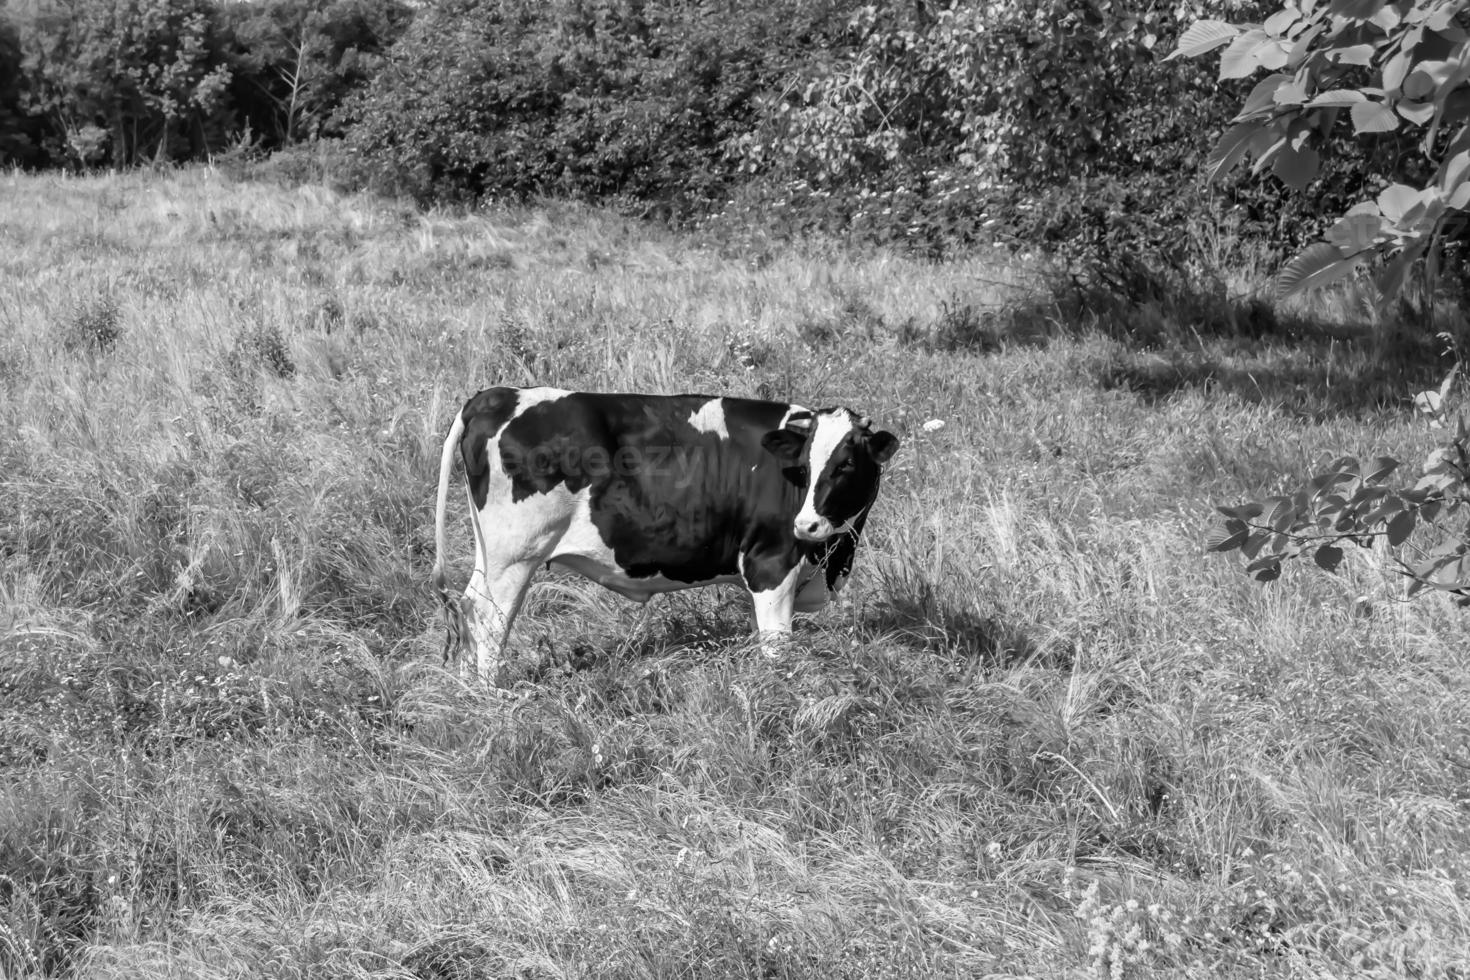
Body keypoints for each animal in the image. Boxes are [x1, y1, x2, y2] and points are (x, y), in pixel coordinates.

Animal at [429, 387, 899, 678]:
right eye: (803, 465)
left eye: (847, 464)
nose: (806, 525)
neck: (834, 557)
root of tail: (498, 395)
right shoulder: (771, 564)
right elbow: (777, 648)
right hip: (515, 556)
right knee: (490, 619)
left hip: (490, 553)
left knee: (468, 606)